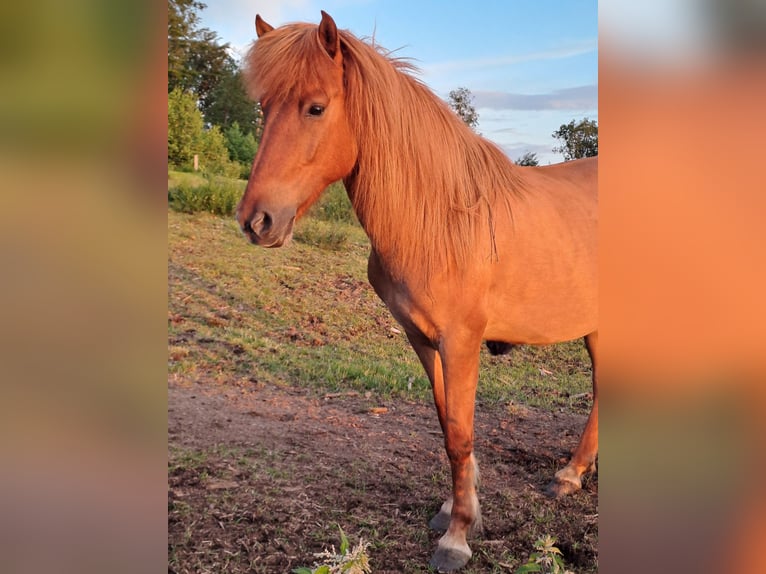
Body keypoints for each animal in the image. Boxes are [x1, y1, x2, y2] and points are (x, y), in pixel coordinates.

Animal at [236, 12, 597, 572]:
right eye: (264, 106)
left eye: (316, 107)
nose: (257, 221)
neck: (440, 220)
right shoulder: (422, 339)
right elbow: (447, 425)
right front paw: (455, 507)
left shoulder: (461, 342)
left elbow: (461, 432)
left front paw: (457, 536)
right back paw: (571, 475)